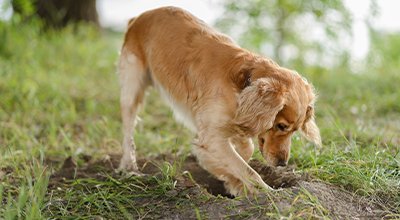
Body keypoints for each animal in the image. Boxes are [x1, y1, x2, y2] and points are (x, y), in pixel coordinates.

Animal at [116, 6, 322, 196]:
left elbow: (245, 151)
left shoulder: (234, 123)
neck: (242, 84)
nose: (282, 163)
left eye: (295, 131)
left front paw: (233, 182)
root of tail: (140, 17)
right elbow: (248, 170)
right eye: (280, 126)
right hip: (132, 88)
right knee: (128, 131)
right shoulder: (212, 137)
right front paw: (266, 193)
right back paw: (129, 167)